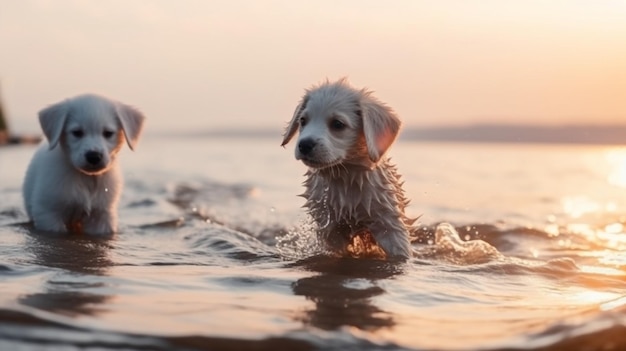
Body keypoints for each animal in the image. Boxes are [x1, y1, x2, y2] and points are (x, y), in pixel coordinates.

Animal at [22, 95, 144, 235]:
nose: (94, 156)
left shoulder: (102, 216)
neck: (87, 178)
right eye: (77, 132)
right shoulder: (49, 213)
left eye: (108, 133)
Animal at [282, 80, 414, 260]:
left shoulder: (389, 223)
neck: (345, 174)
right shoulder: (330, 228)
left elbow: (399, 250)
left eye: (338, 124)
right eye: (303, 120)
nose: (304, 145)